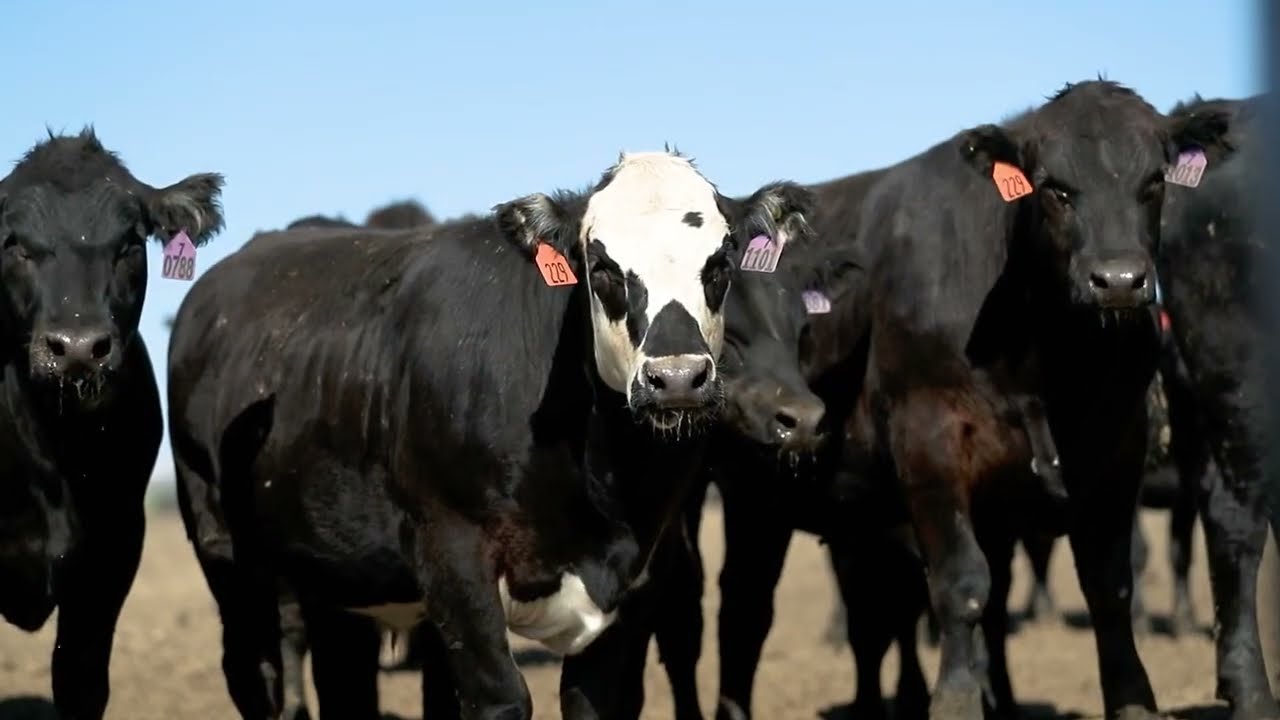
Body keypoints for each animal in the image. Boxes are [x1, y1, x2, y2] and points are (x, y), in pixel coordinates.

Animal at [167, 150, 820, 719]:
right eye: (602, 267)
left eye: (721, 263)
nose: (677, 378)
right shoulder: (453, 560)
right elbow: (499, 699)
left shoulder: (637, 579)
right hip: (225, 554)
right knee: (253, 673)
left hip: (334, 571)